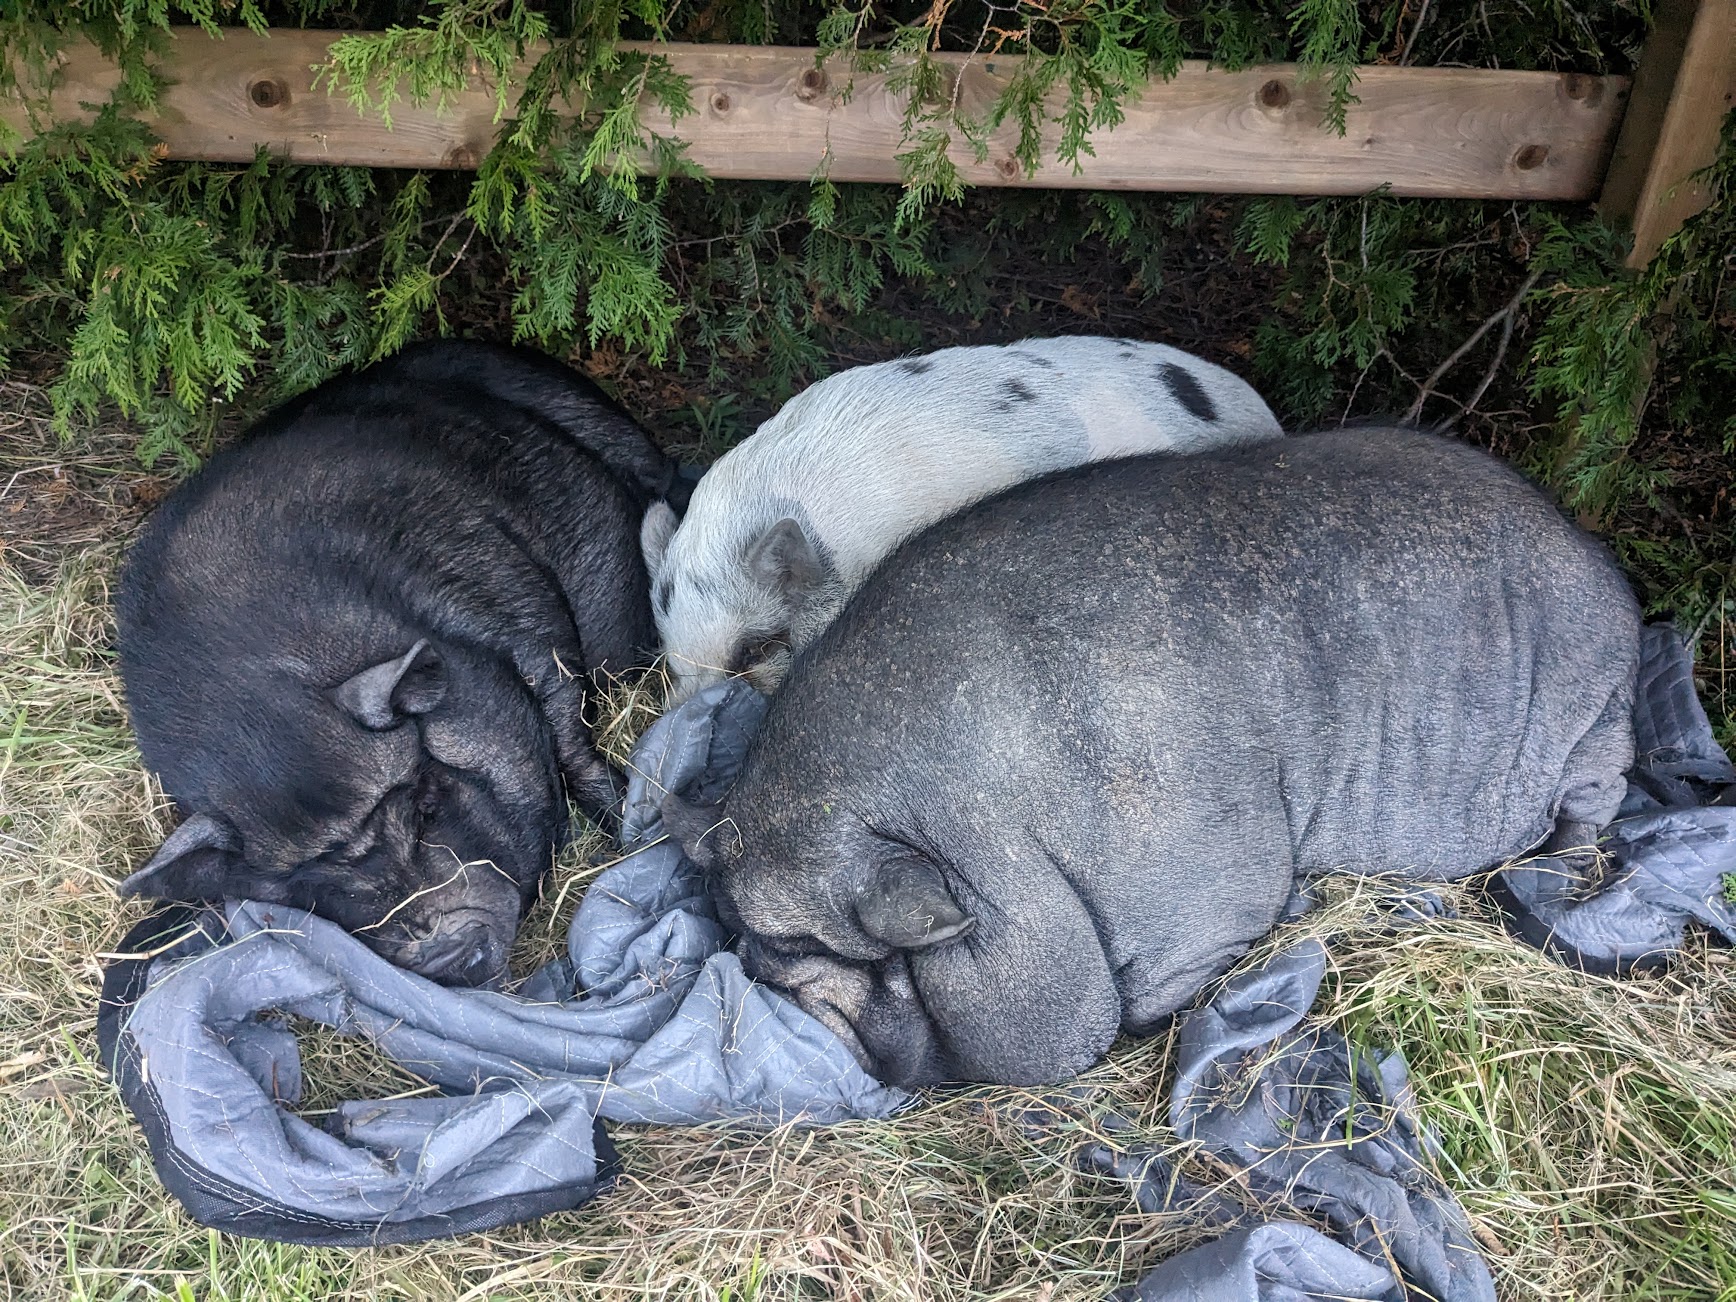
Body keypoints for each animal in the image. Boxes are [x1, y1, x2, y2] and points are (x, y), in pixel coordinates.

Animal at [115, 339, 679, 987]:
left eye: (426, 809)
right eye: (317, 886)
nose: (444, 952)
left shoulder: (521, 617)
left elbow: (569, 734)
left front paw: (630, 828)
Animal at [664, 427, 1640, 1087]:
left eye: (803, 939)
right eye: (741, 925)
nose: (757, 968)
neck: (997, 834)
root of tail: (1603, 566)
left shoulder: (1201, 874)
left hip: (1597, 716)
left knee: (1594, 803)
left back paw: (1551, 878)